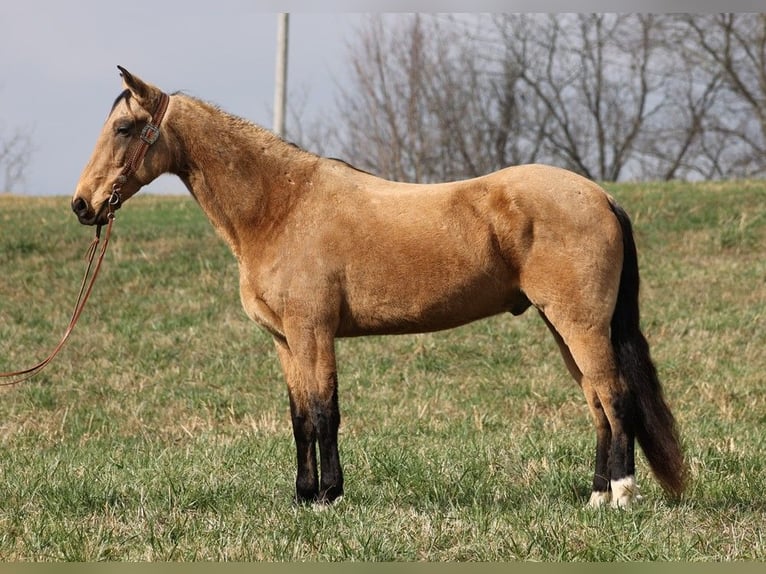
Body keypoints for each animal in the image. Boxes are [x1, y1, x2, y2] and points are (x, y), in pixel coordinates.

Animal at [69, 66, 688, 508]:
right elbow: (299, 416)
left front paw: (329, 497)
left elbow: (325, 412)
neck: (282, 205)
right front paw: (303, 496)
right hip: (564, 328)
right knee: (596, 404)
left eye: (124, 128)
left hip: (581, 325)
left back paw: (622, 496)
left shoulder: (314, 332)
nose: (82, 205)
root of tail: (600, 195)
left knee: (615, 397)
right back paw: (596, 497)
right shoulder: (286, 342)